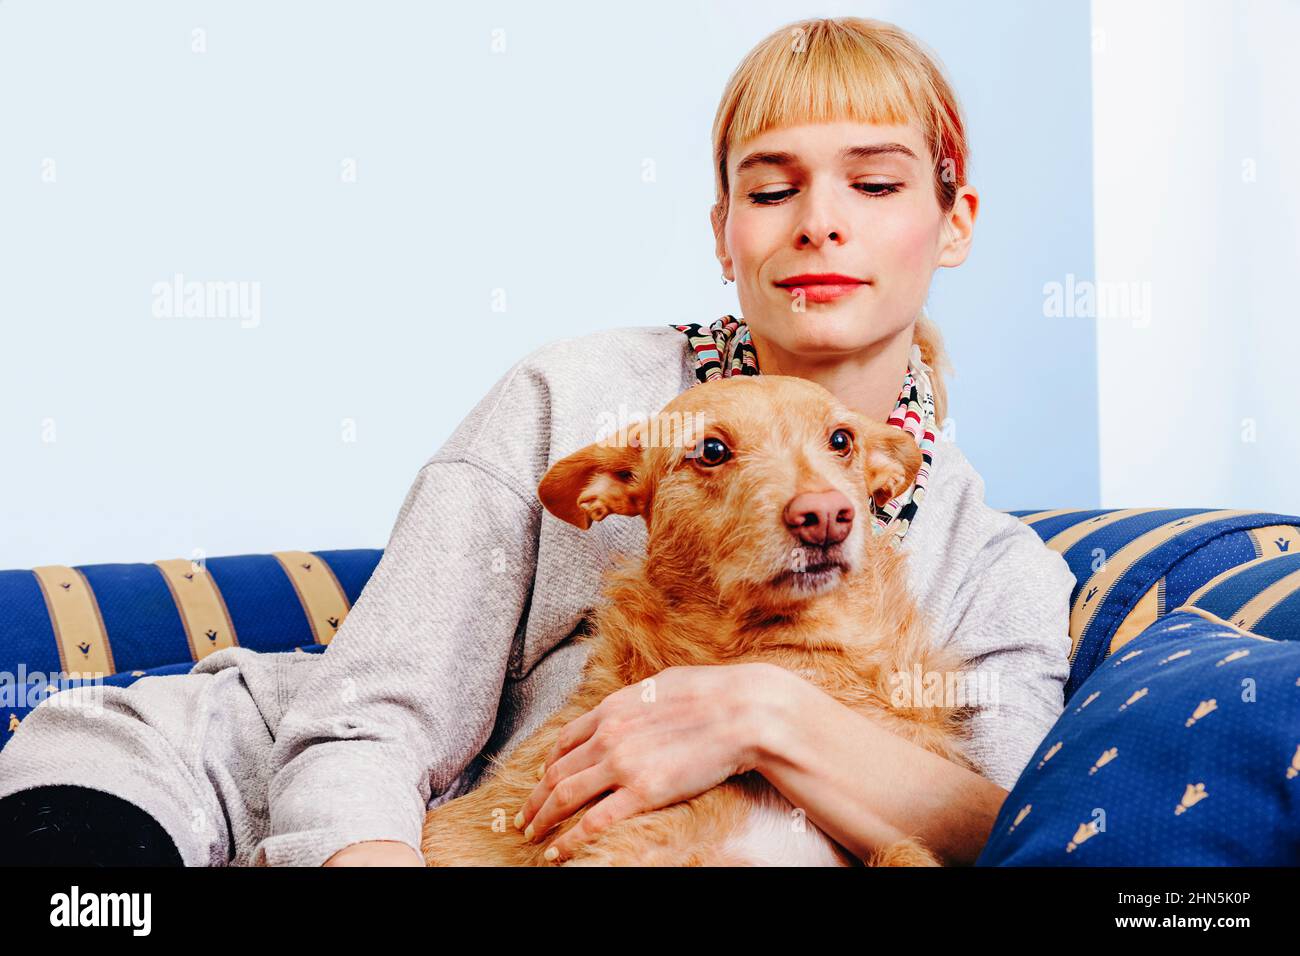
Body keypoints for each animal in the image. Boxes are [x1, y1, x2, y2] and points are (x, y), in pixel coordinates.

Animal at [421, 374, 977, 868]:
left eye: (841, 439)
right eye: (711, 450)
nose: (824, 515)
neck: (802, 653)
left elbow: (907, 850)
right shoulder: (618, 846)